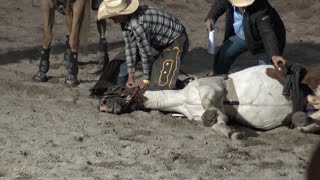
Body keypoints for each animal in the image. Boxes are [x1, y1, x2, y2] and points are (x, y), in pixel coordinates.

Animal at [93, 64, 320, 139]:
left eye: (118, 89)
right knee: (309, 116)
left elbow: (208, 106)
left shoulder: (213, 86)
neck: (182, 99)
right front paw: (232, 133)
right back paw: (305, 122)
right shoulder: (211, 113)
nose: (102, 104)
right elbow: (216, 122)